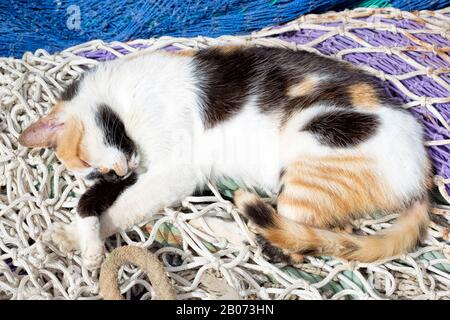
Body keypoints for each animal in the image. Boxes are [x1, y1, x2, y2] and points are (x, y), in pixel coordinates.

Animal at [18, 45, 432, 270]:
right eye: (93, 173)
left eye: (87, 162)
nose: (115, 174)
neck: (122, 98)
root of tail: (423, 179)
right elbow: (96, 202)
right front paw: (77, 231)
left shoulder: (172, 172)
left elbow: (123, 208)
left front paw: (77, 240)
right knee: (321, 233)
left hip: (313, 155)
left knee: (290, 243)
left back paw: (221, 225)